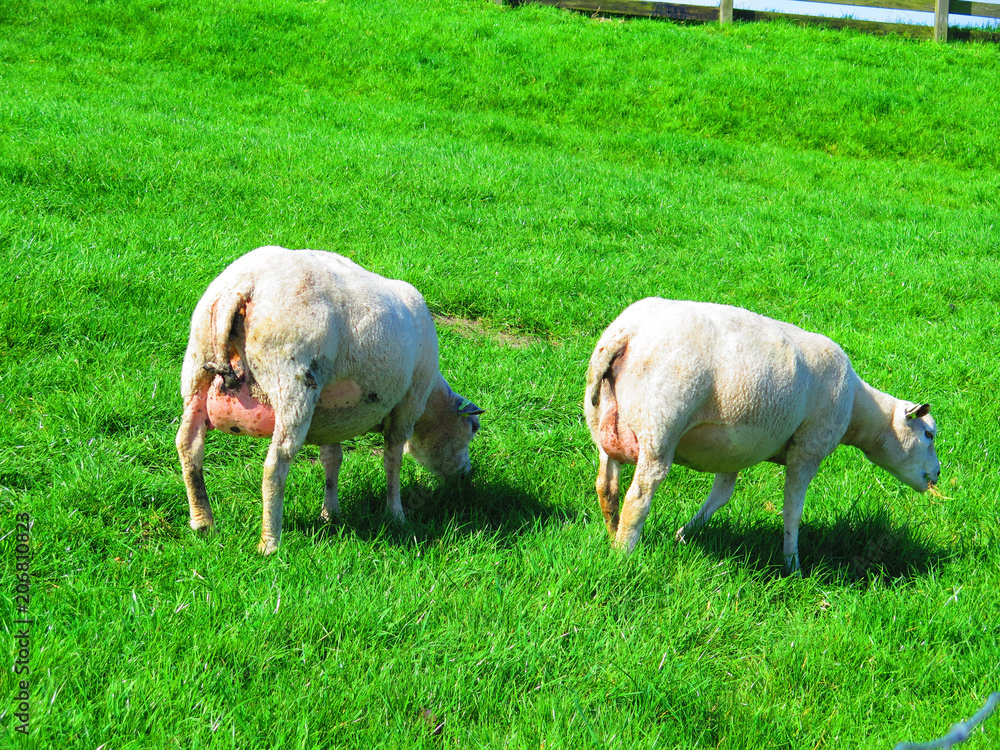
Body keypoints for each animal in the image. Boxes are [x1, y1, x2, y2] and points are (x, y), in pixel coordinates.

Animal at [175, 246, 484, 555]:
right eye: (472, 429)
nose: (466, 478)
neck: (431, 402)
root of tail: (244, 285)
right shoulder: (408, 405)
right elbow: (392, 459)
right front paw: (396, 514)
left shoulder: (331, 417)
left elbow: (332, 460)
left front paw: (330, 514)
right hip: (292, 383)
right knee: (275, 464)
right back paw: (270, 542)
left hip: (196, 366)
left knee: (188, 443)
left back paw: (203, 522)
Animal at [584, 297, 940, 573]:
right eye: (928, 434)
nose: (937, 473)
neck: (858, 409)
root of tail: (628, 334)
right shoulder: (808, 448)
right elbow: (792, 510)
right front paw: (793, 565)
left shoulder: (731, 451)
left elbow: (721, 495)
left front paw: (684, 534)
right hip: (660, 425)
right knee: (638, 496)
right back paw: (625, 554)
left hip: (602, 421)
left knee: (606, 486)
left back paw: (612, 535)